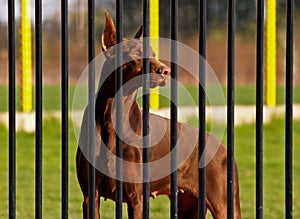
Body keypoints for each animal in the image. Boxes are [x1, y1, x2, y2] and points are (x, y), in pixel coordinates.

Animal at [77, 12, 241, 219]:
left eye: (154, 54)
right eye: (136, 54)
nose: (166, 71)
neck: (112, 116)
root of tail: (222, 146)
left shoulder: (136, 198)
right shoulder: (90, 197)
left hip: (224, 204)